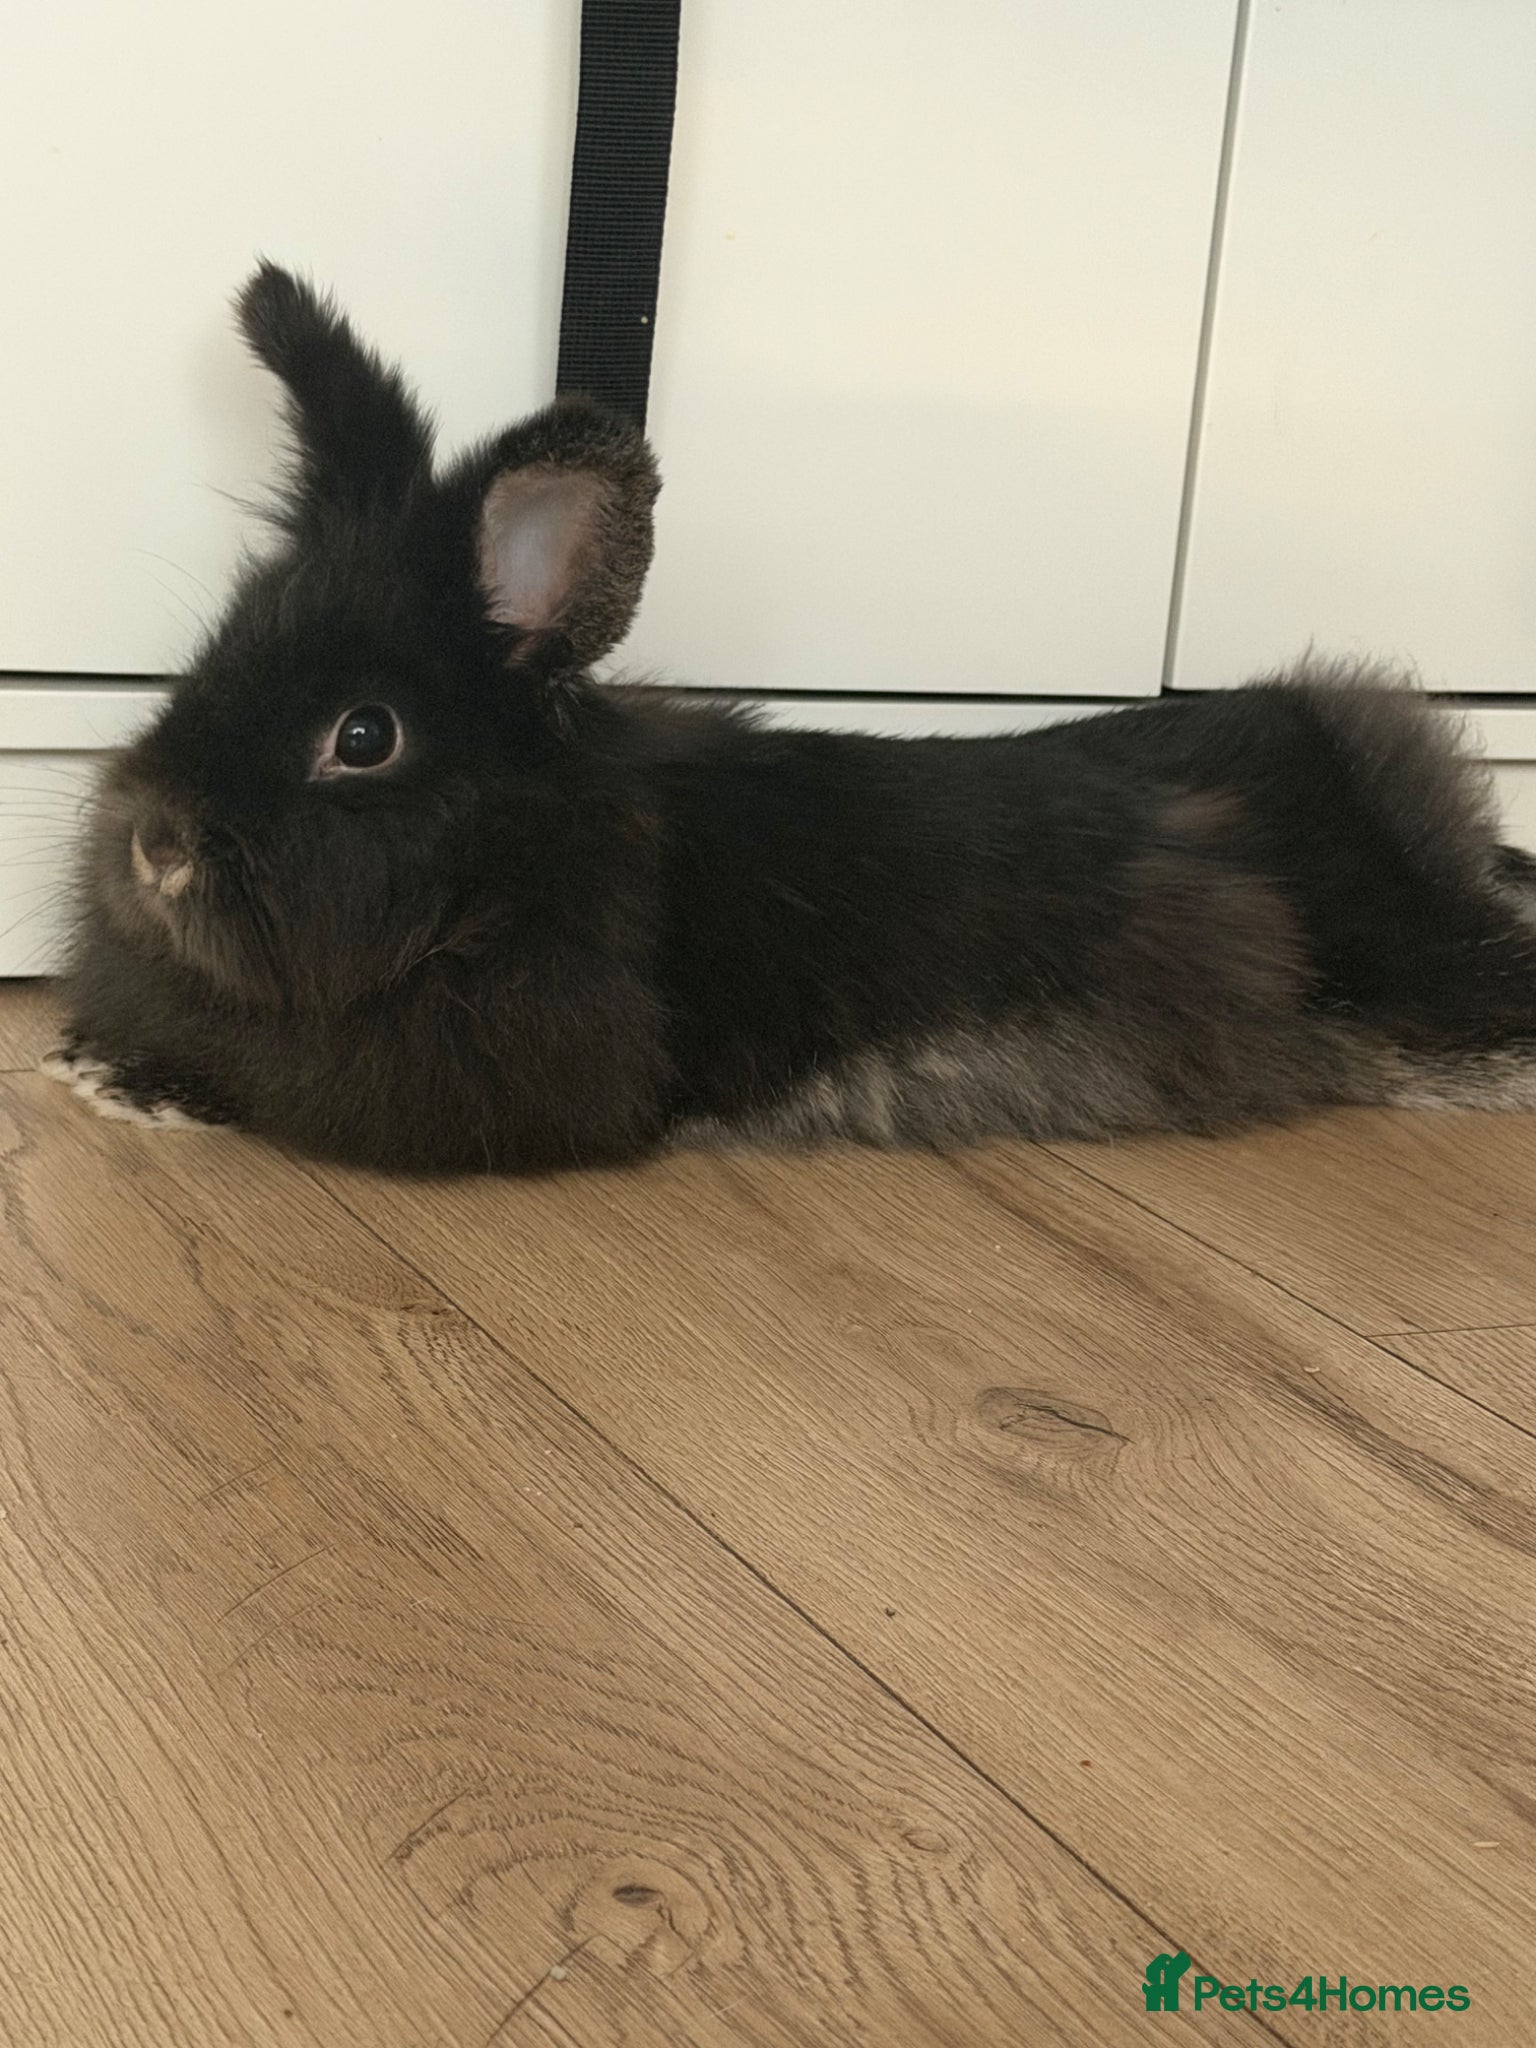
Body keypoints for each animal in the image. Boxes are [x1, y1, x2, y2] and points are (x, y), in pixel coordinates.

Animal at [43, 262, 1536, 1172]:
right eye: (217, 648)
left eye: (364, 737)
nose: (153, 844)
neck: (512, 863)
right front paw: (92, 1053)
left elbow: (281, 1090)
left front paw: (133, 1084)